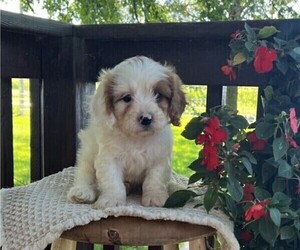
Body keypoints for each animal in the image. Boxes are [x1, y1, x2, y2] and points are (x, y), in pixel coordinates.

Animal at [68, 55, 186, 208]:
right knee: (85, 173)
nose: (146, 119)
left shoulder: (159, 158)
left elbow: (155, 179)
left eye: (158, 95)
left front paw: (155, 197)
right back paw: (82, 192)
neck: (136, 138)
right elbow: (112, 181)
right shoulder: (109, 158)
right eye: (127, 98)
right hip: (88, 152)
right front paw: (112, 199)